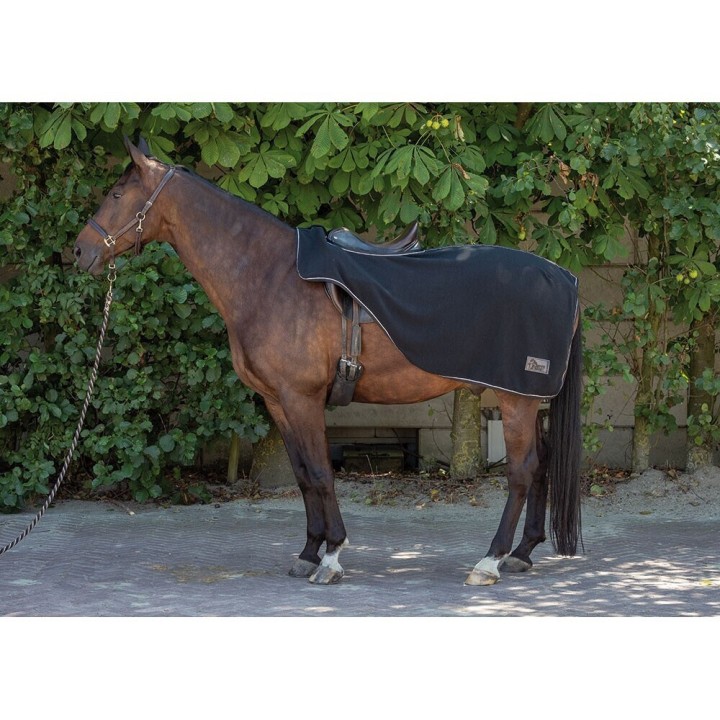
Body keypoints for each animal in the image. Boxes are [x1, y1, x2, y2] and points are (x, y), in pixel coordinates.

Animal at [73, 138, 583, 586]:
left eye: (117, 193)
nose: (79, 251)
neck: (268, 276)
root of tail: (564, 276)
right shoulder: (278, 402)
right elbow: (303, 477)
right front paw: (307, 552)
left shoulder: (302, 398)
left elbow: (321, 473)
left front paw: (332, 556)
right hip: (525, 400)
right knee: (541, 462)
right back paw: (522, 553)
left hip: (516, 399)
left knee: (521, 471)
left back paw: (490, 561)